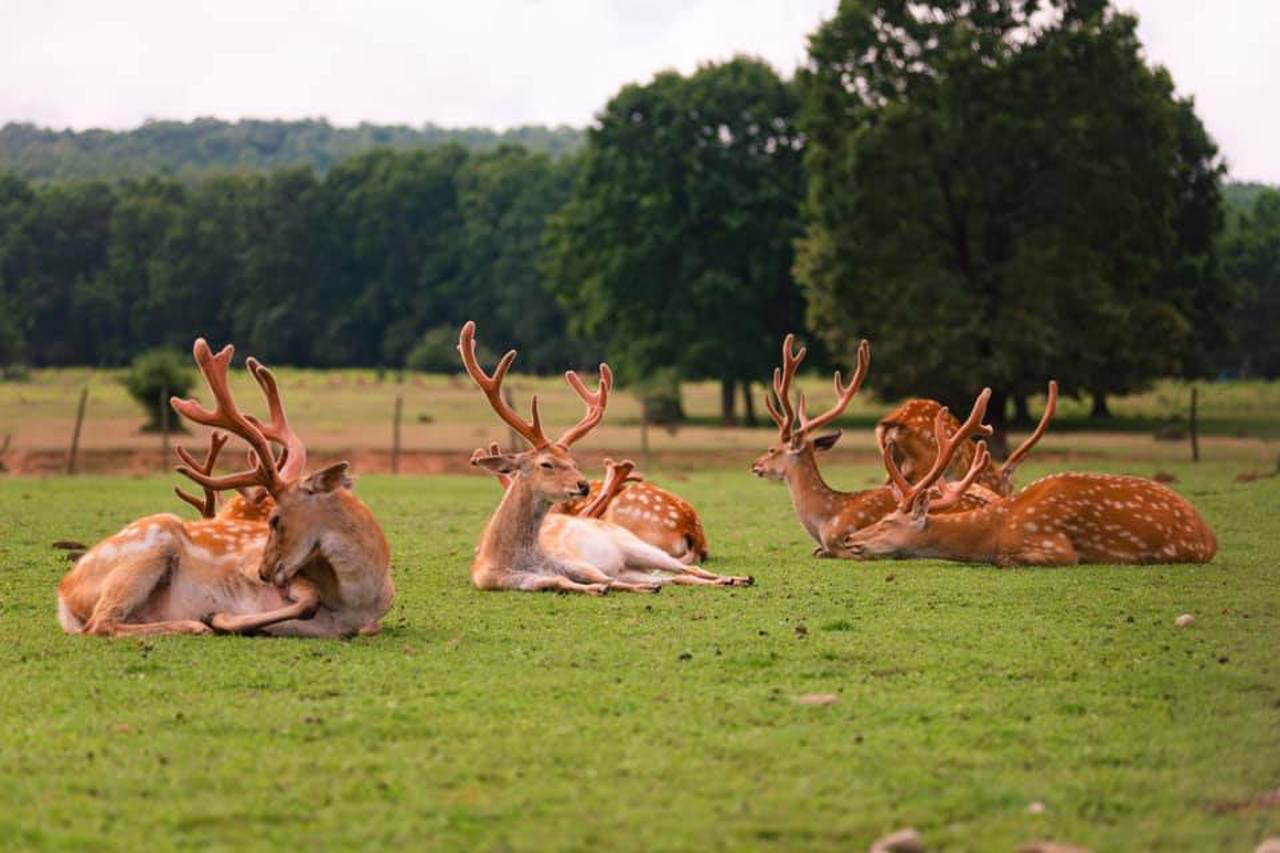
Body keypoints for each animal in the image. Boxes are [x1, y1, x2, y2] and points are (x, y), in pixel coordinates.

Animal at [56, 338, 394, 630]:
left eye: (275, 519)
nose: (263, 572)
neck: (358, 600)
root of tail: (64, 592)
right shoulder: (254, 564)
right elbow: (310, 600)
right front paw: (218, 617)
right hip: (151, 545)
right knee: (100, 624)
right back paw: (194, 625)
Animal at [460, 318, 752, 591]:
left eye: (574, 462)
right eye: (546, 464)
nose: (583, 484)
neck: (506, 559)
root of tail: (693, 533)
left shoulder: (574, 560)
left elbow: (602, 578)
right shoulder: (520, 580)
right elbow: (564, 581)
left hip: (640, 545)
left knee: (688, 569)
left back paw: (738, 578)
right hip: (639, 560)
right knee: (678, 576)